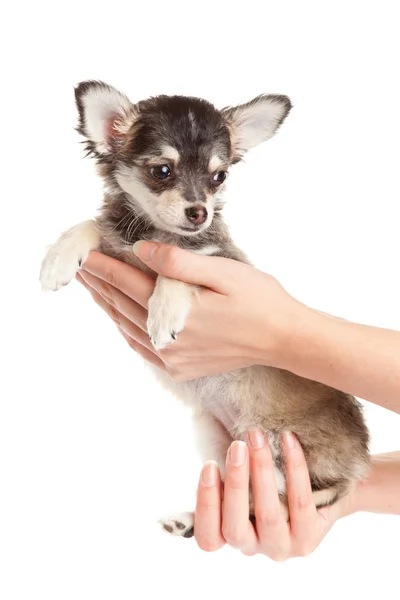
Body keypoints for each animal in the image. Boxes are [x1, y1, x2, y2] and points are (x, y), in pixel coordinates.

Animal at [40, 81, 368, 540]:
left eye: (219, 177)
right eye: (162, 171)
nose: (200, 212)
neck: (153, 233)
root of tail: (360, 464)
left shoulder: (220, 261)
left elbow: (181, 266)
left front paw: (163, 313)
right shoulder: (120, 241)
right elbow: (92, 225)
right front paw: (57, 258)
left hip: (281, 454)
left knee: (291, 496)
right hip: (218, 438)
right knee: (240, 498)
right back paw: (191, 520)